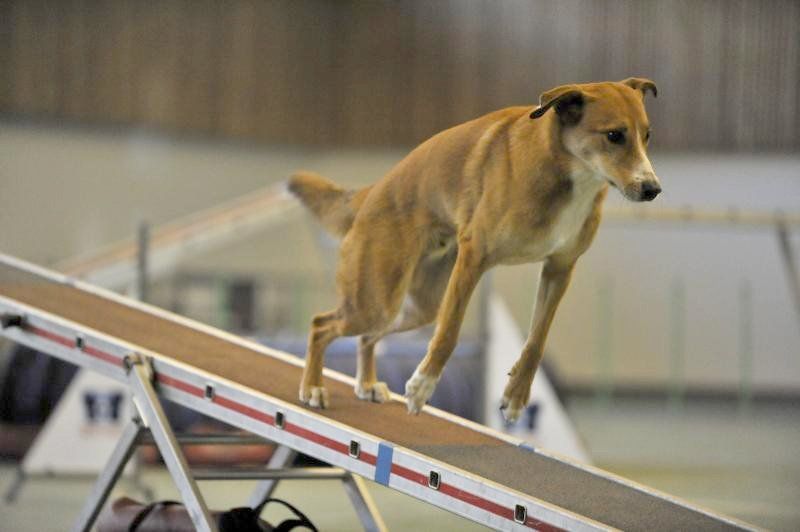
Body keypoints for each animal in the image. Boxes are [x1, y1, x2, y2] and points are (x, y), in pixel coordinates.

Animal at [289, 78, 660, 422]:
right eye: (614, 135)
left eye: (647, 135)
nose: (652, 189)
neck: (567, 174)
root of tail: (371, 193)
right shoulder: (474, 257)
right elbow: (449, 332)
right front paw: (422, 385)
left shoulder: (559, 268)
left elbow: (536, 341)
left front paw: (515, 395)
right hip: (376, 299)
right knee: (321, 326)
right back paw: (313, 388)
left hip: (418, 307)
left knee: (367, 338)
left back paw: (366, 385)